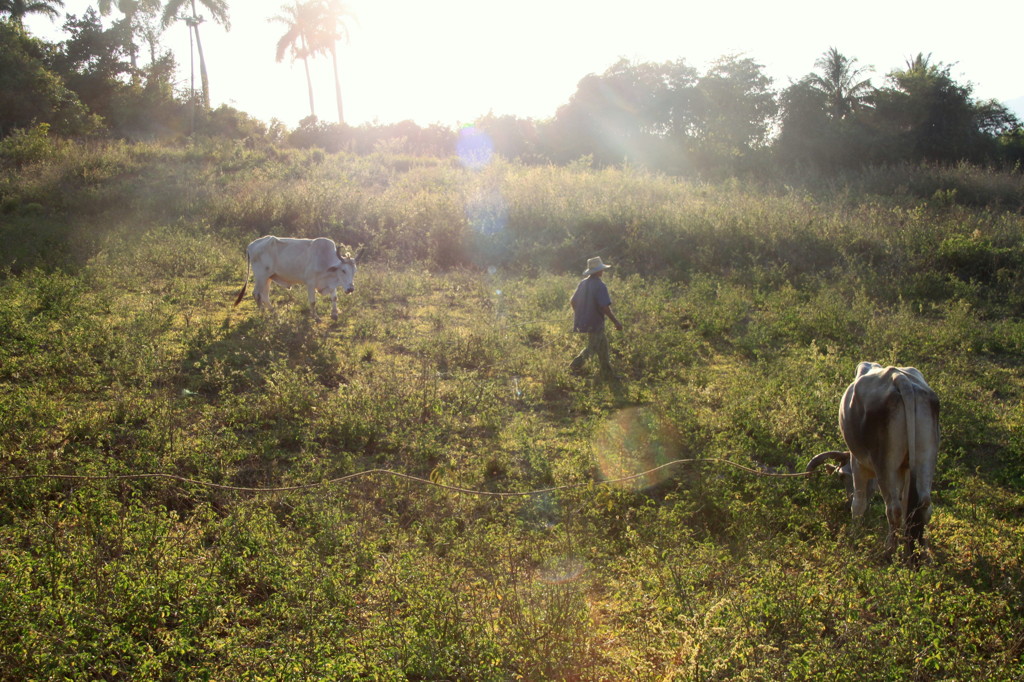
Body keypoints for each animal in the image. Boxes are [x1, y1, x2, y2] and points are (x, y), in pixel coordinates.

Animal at [806, 364, 942, 557]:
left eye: (842, 476)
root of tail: (901, 379)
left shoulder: (857, 464)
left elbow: (859, 504)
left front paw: (854, 537)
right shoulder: (905, 470)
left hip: (884, 464)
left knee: (893, 509)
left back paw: (888, 552)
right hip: (925, 458)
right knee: (923, 505)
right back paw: (921, 553)